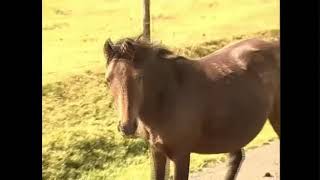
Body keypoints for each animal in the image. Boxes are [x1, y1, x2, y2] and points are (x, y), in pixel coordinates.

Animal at [103, 37, 280, 180]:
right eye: (108, 80)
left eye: (139, 77)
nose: (126, 127)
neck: (167, 98)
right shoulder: (156, 151)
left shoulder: (181, 155)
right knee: (236, 158)